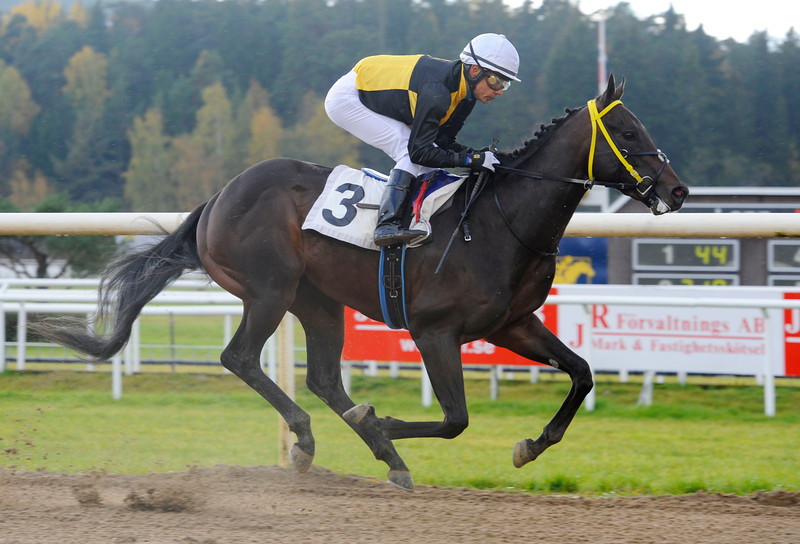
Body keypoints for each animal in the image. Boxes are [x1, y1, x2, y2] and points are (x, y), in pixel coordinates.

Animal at [32, 75, 688, 488]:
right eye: (628, 134)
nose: (678, 190)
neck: (501, 223)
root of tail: (219, 196)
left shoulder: (513, 323)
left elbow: (582, 372)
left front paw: (531, 445)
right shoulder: (434, 331)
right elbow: (456, 419)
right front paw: (381, 421)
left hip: (317, 302)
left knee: (322, 377)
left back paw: (377, 453)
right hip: (270, 289)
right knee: (241, 358)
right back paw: (315, 440)